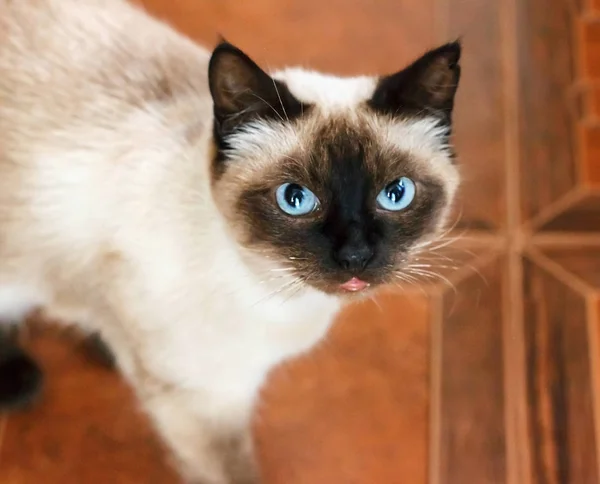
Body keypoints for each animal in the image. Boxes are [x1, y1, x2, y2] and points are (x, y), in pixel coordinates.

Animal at [0, 0, 460, 484]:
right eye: (295, 199)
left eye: (396, 193)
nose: (356, 256)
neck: (278, 297)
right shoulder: (202, 405)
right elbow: (234, 472)